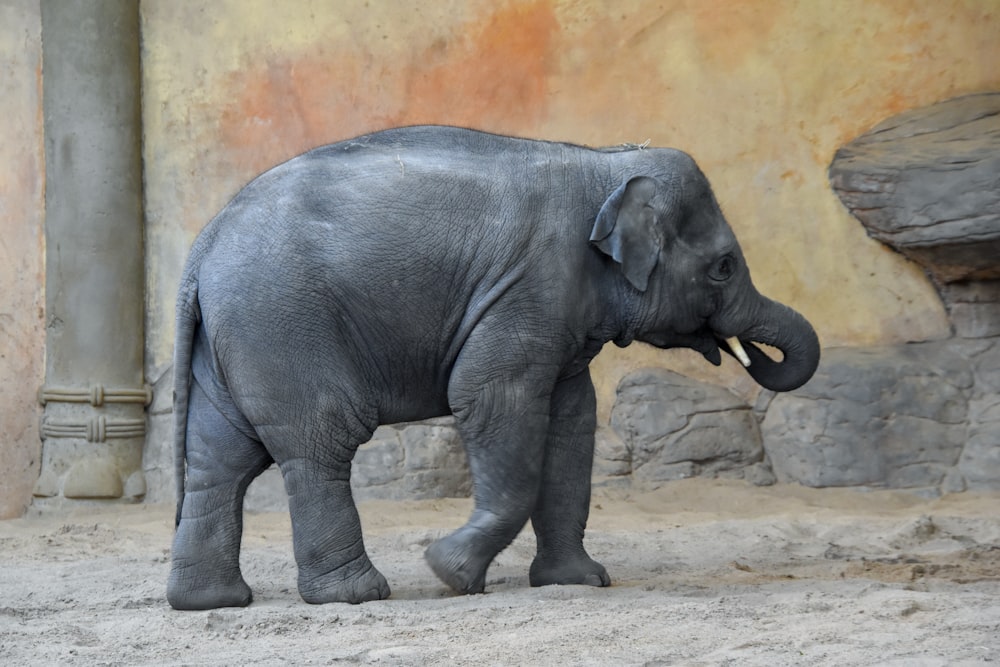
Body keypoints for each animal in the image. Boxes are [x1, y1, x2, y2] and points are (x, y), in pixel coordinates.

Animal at [166, 125, 820, 612]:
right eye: (724, 267)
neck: (604, 161)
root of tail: (203, 245)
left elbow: (571, 424)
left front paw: (579, 581)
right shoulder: (528, 289)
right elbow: (490, 398)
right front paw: (449, 573)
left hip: (235, 340)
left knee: (219, 458)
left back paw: (212, 602)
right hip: (282, 325)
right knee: (319, 442)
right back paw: (357, 595)